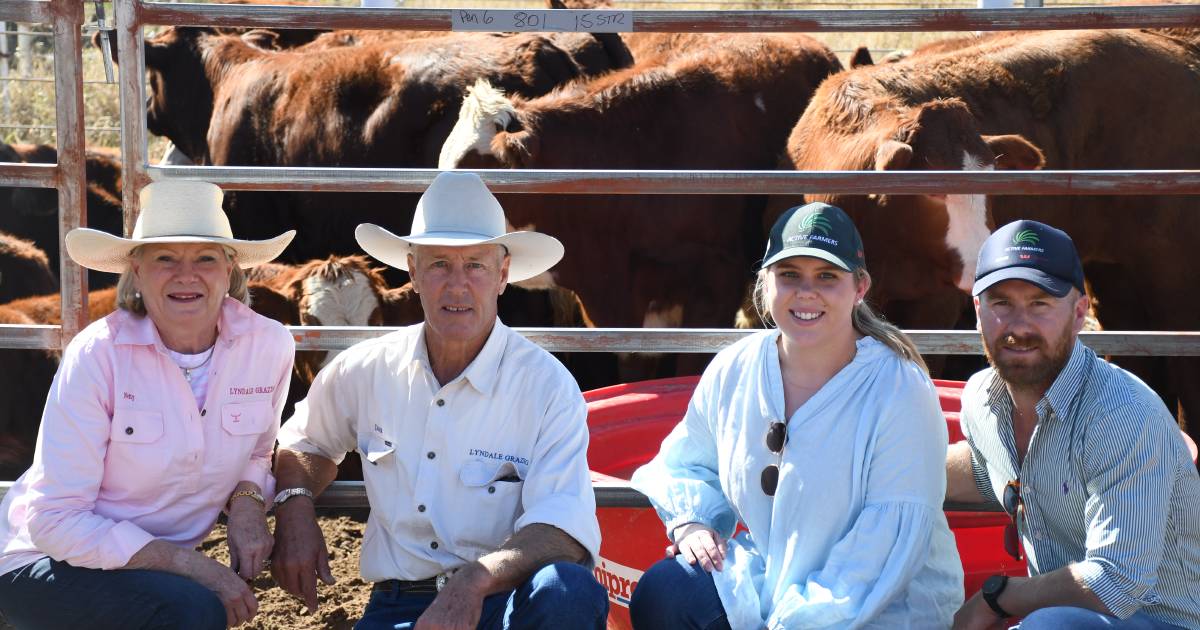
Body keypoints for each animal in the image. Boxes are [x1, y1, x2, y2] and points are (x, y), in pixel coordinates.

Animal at [768, 27, 1200, 434]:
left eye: (993, 177)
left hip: (1176, 279)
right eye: (929, 190)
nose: (981, 258)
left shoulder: (935, 304)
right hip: (1118, 280)